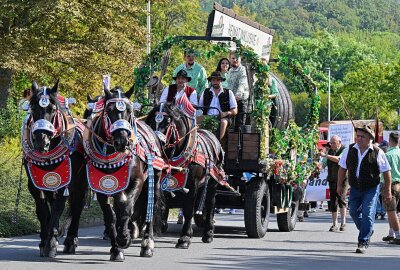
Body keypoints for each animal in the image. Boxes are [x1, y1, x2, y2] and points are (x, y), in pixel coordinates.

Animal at [22, 81, 86, 258]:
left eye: (52, 109)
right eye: (32, 108)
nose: (41, 142)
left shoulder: (66, 181)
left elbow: (58, 207)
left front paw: (51, 242)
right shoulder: (34, 183)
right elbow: (42, 211)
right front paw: (44, 241)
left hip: (81, 182)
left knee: (77, 206)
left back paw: (71, 240)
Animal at [85, 85, 165, 260]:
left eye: (129, 110)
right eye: (109, 110)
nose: (122, 141)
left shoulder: (137, 181)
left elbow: (126, 207)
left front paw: (124, 238)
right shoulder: (101, 186)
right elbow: (111, 215)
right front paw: (116, 248)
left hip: (154, 181)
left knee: (151, 207)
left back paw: (147, 244)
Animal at [146, 102, 227, 249]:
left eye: (167, 122)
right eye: (150, 121)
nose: (155, 143)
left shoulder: (193, 183)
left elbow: (188, 208)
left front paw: (185, 237)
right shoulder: (164, 182)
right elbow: (160, 203)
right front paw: (157, 228)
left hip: (213, 182)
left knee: (210, 203)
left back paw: (208, 233)